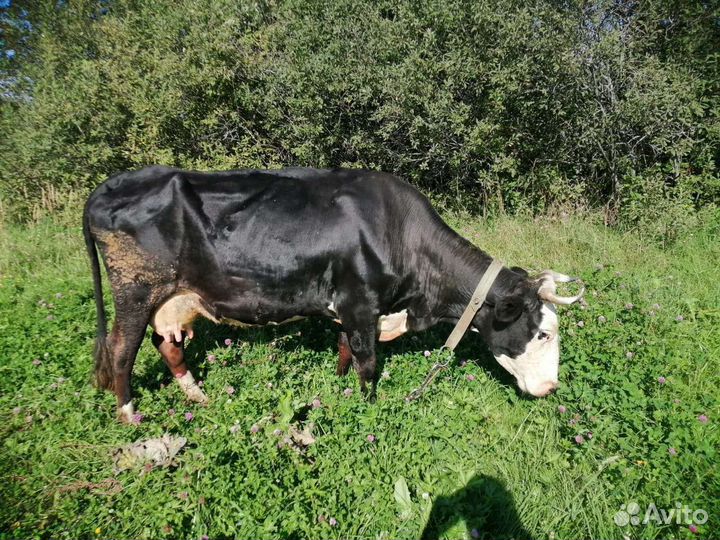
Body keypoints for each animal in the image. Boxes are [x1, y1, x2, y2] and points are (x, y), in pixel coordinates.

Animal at [83, 166, 584, 423]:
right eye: (542, 333)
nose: (552, 388)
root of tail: (108, 186)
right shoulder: (360, 303)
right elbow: (367, 363)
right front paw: (367, 409)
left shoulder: (352, 308)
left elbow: (345, 352)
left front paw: (339, 393)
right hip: (134, 290)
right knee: (122, 351)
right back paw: (130, 415)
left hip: (172, 299)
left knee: (167, 345)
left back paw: (198, 398)